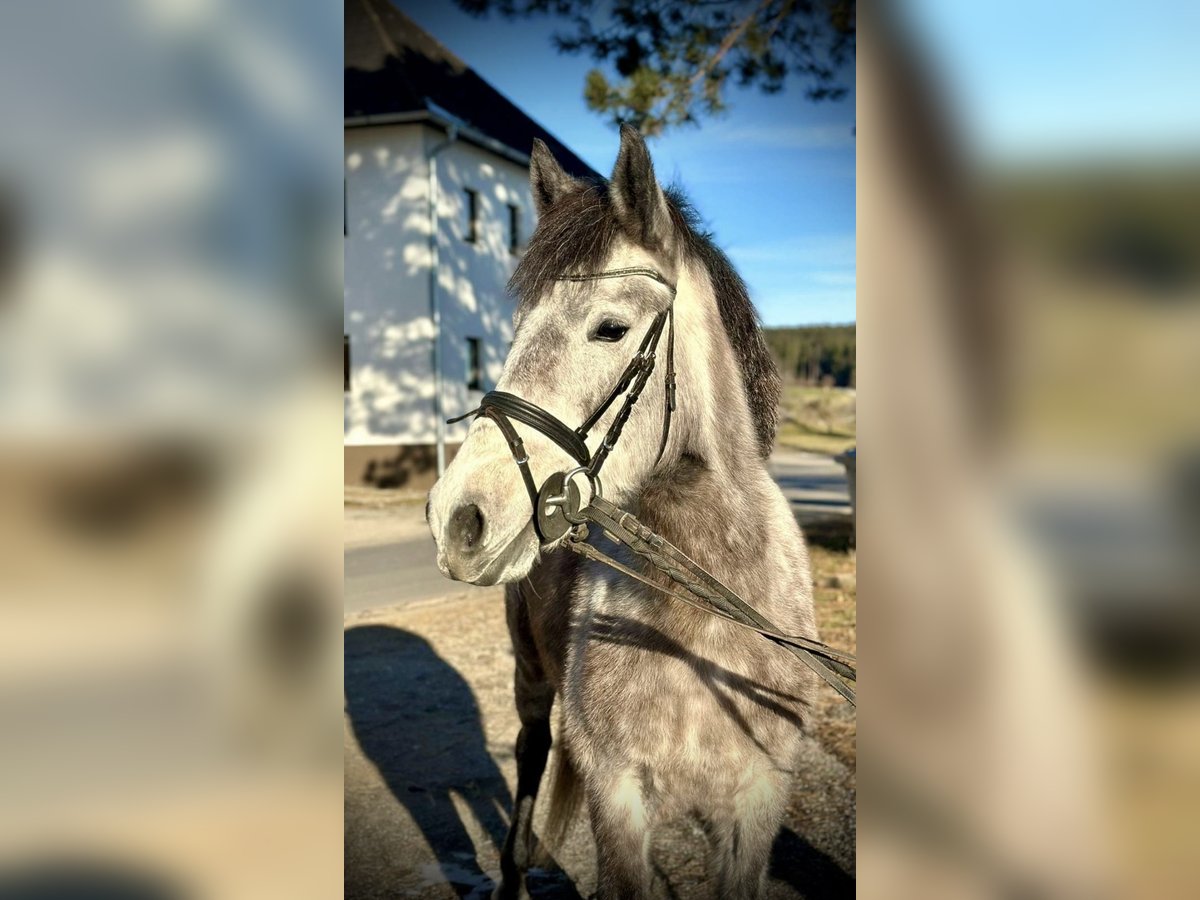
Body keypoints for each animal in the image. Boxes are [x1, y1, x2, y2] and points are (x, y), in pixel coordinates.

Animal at [427, 127, 820, 900]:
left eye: (610, 329)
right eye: (514, 330)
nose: (457, 517)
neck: (699, 623)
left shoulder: (755, 811)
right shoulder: (619, 805)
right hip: (529, 678)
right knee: (530, 760)